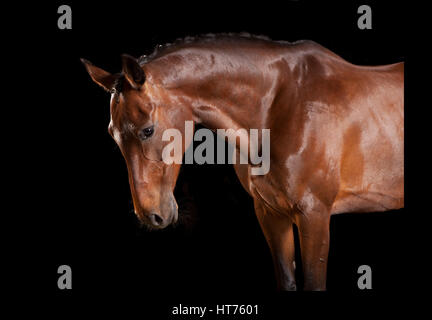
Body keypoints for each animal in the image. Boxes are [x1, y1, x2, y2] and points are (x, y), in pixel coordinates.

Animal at [82, 33, 404, 292]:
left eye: (147, 130)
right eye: (112, 134)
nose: (152, 215)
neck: (281, 106)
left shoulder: (314, 216)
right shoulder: (271, 214)